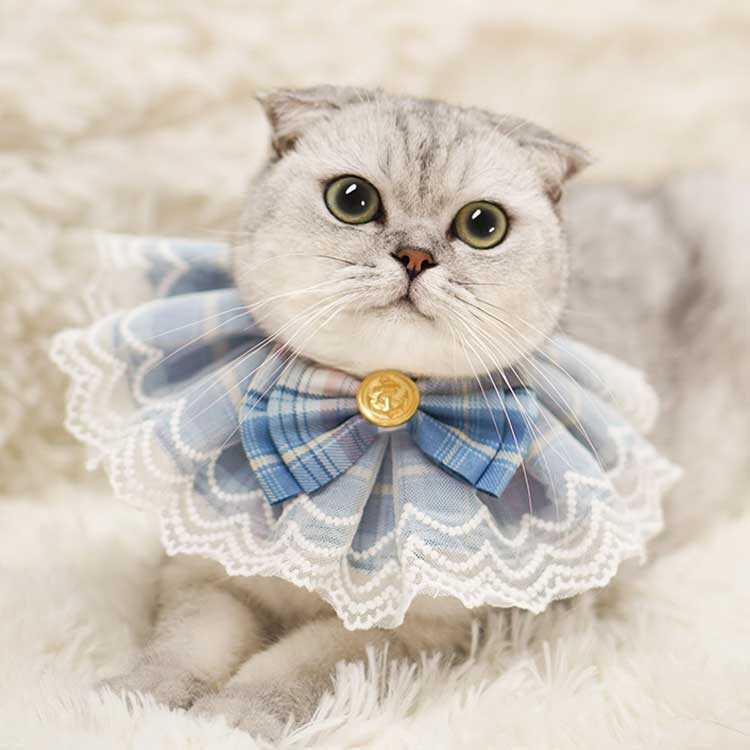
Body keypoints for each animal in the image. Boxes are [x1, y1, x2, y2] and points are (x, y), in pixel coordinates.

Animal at [104, 86, 750, 739]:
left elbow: (296, 665)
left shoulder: (411, 629)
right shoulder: (204, 572)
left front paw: (234, 713)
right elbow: (185, 641)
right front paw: (140, 700)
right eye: (352, 200)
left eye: (483, 226)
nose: (413, 256)